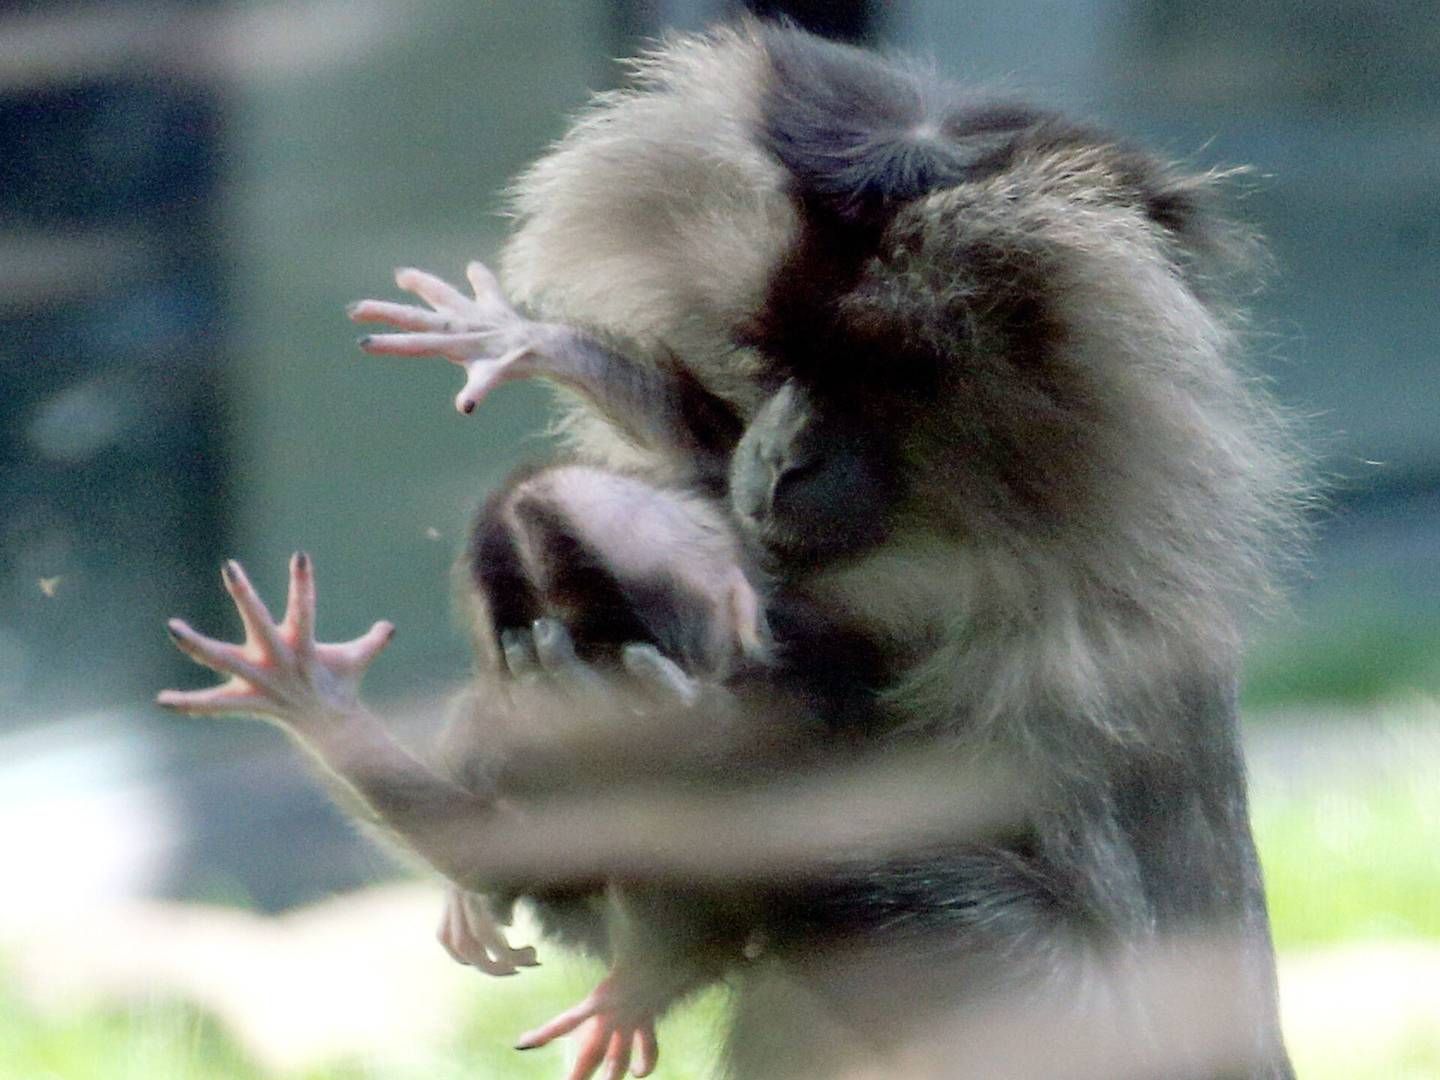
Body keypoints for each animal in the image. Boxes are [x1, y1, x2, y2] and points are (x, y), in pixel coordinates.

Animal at [165, 19, 1307, 1080]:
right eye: (774, 359)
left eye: (877, 381)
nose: (785, 458)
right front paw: (533, 341)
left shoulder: (1085, 658)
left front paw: (688, 741)